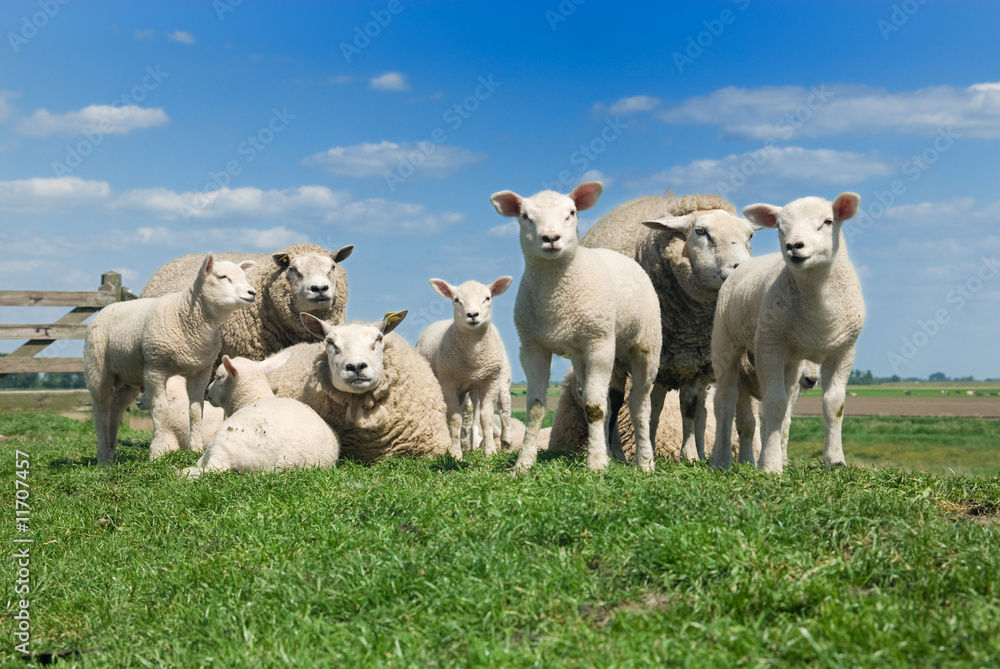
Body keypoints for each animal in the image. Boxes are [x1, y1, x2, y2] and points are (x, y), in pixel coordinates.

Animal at [84, 255, 257, 465]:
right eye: (222, 276)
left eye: (243, 276)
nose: (252, 293)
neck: (187, 316)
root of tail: (107, 307)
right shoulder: (155, 367)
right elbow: (161, 410)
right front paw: (156, 452)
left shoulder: (201, 370)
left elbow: (196, 411)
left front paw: (196, 449)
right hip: (97, 368)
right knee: (101, 409)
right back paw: (102, 455)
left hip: (128, 374)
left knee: (116, 409)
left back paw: (110, 451)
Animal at [415, 276, 514, 456]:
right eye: (456, 300)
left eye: (487, 298)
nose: (472, 315)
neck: (473, 358)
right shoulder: (448, 382)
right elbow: (455, 419)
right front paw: (455, 453)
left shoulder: (490, 381)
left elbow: (487, 417)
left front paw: (490, 451)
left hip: (501, 378)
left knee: (503, 409)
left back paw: (504, 444)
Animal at [490, 181, 662, 473]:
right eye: (525, 216)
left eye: (571, 212)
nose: (550, 237)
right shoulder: (532, 347)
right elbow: (536, 408)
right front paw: (523, 464)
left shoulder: (599, 343)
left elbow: (594, 407)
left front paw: (596, 465)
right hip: (584, 356)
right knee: (606, 400)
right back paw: (610, 452)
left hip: (645, 345)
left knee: (639, 404)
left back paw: (645, 461)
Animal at [549, 191, 755, 462]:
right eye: (700, 231)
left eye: (750, 236)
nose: (741, 271)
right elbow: (617, 402)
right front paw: (617, 452)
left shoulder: (695, 363)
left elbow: (689, 407)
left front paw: (689, 456)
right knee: (626, 401)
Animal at [710, 193, 865, 474]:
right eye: (780, 228)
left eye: (827, 221)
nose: (794, 245)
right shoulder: (769, 346)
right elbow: (775, 403)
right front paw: (770, 465)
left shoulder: (844, 350)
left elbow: (834, 405)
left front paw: (836, 461)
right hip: (725, 342)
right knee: (725, 401)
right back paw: (721, 460)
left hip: (792, 361)